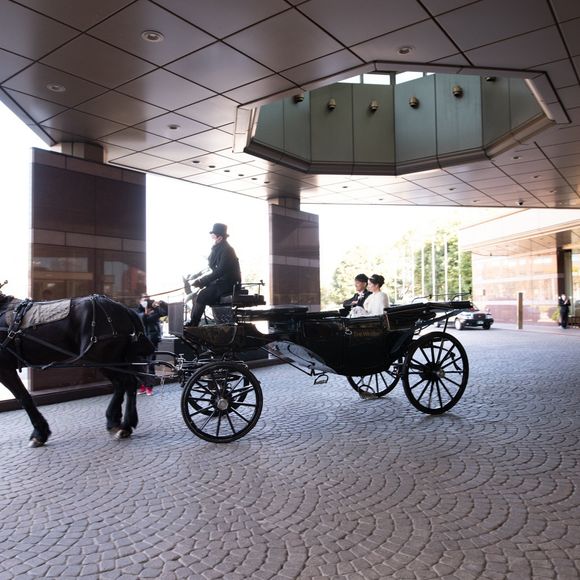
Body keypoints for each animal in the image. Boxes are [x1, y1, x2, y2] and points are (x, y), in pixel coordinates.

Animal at [0, 292, 155, 447]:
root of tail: (123, 308)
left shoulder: (5, 369)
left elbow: (24, 397)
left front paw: (40, 433)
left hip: (102, 359)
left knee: (126, 382)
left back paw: (125, 425)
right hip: (114, 360)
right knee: (125, 384)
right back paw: (116, 421)